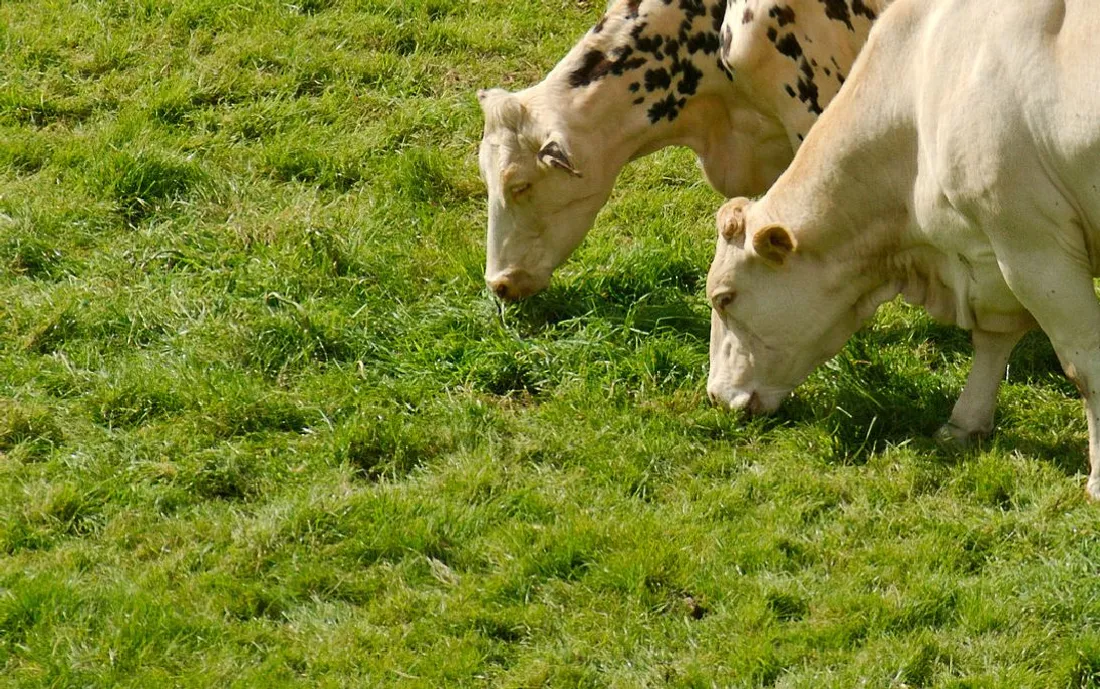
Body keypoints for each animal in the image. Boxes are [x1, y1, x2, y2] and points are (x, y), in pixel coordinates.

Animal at [705, 0, 1100, 497]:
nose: (716, 395)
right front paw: (965, 423)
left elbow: (1084, 363)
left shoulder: (1031, 243)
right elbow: (995, 337)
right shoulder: (994, 253)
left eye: (724, 298)